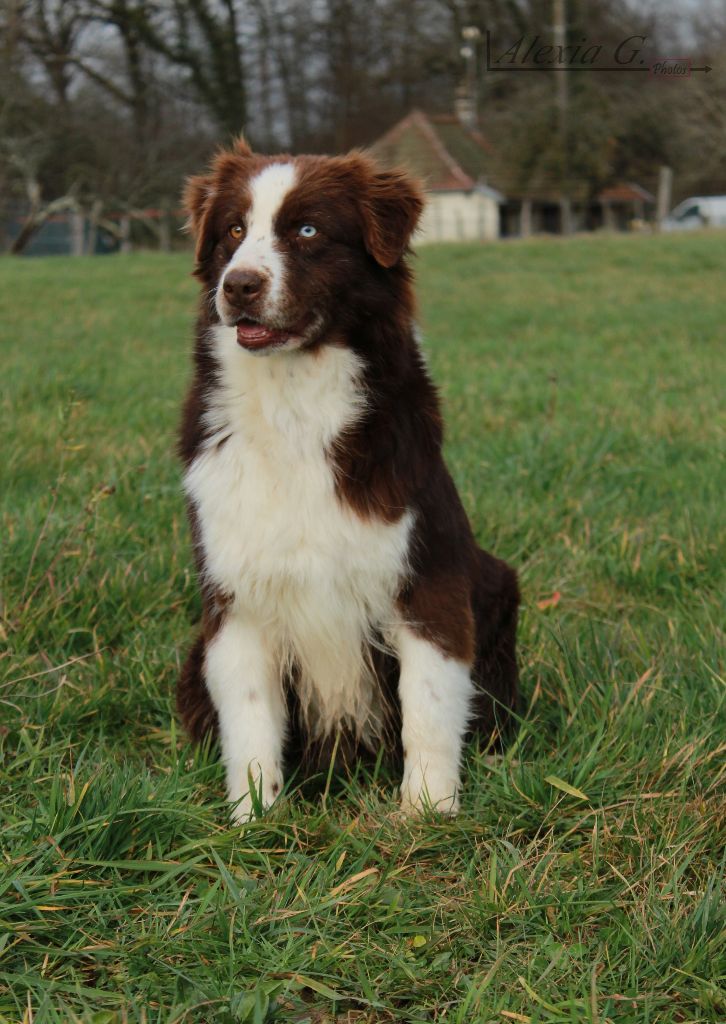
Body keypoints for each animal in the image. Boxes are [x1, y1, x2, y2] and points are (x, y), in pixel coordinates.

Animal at [176, 138, 518, 823]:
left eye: (308, 230)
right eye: (233, 232)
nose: (239, 285)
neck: (294, 402)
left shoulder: (426, 576)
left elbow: (428, 705)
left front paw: (427, 812)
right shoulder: (235, 598)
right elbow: (249, 718)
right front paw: (253, 819)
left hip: (498, 589)